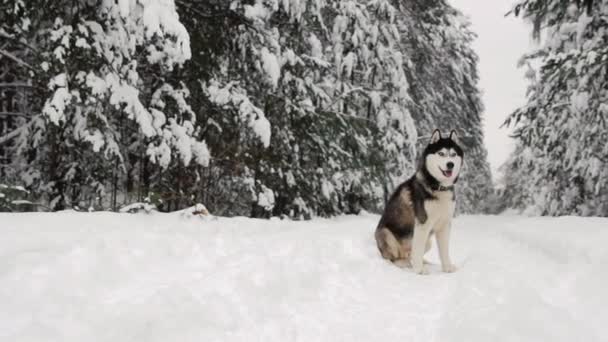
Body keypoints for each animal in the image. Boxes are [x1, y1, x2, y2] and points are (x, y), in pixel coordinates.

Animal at [372, 129, 464, 276]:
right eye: (441, 153)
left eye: (453, 154)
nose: (450, 164)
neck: (438, 187)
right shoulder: (422, 224)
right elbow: (418, 251)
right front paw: (419, 270)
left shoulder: (444, 224)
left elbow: (444, 250)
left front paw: (447, 268)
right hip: (386, 234)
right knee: (395, 259)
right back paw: (406, 264)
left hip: (427, 242)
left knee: (411, 254)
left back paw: (423, 262)